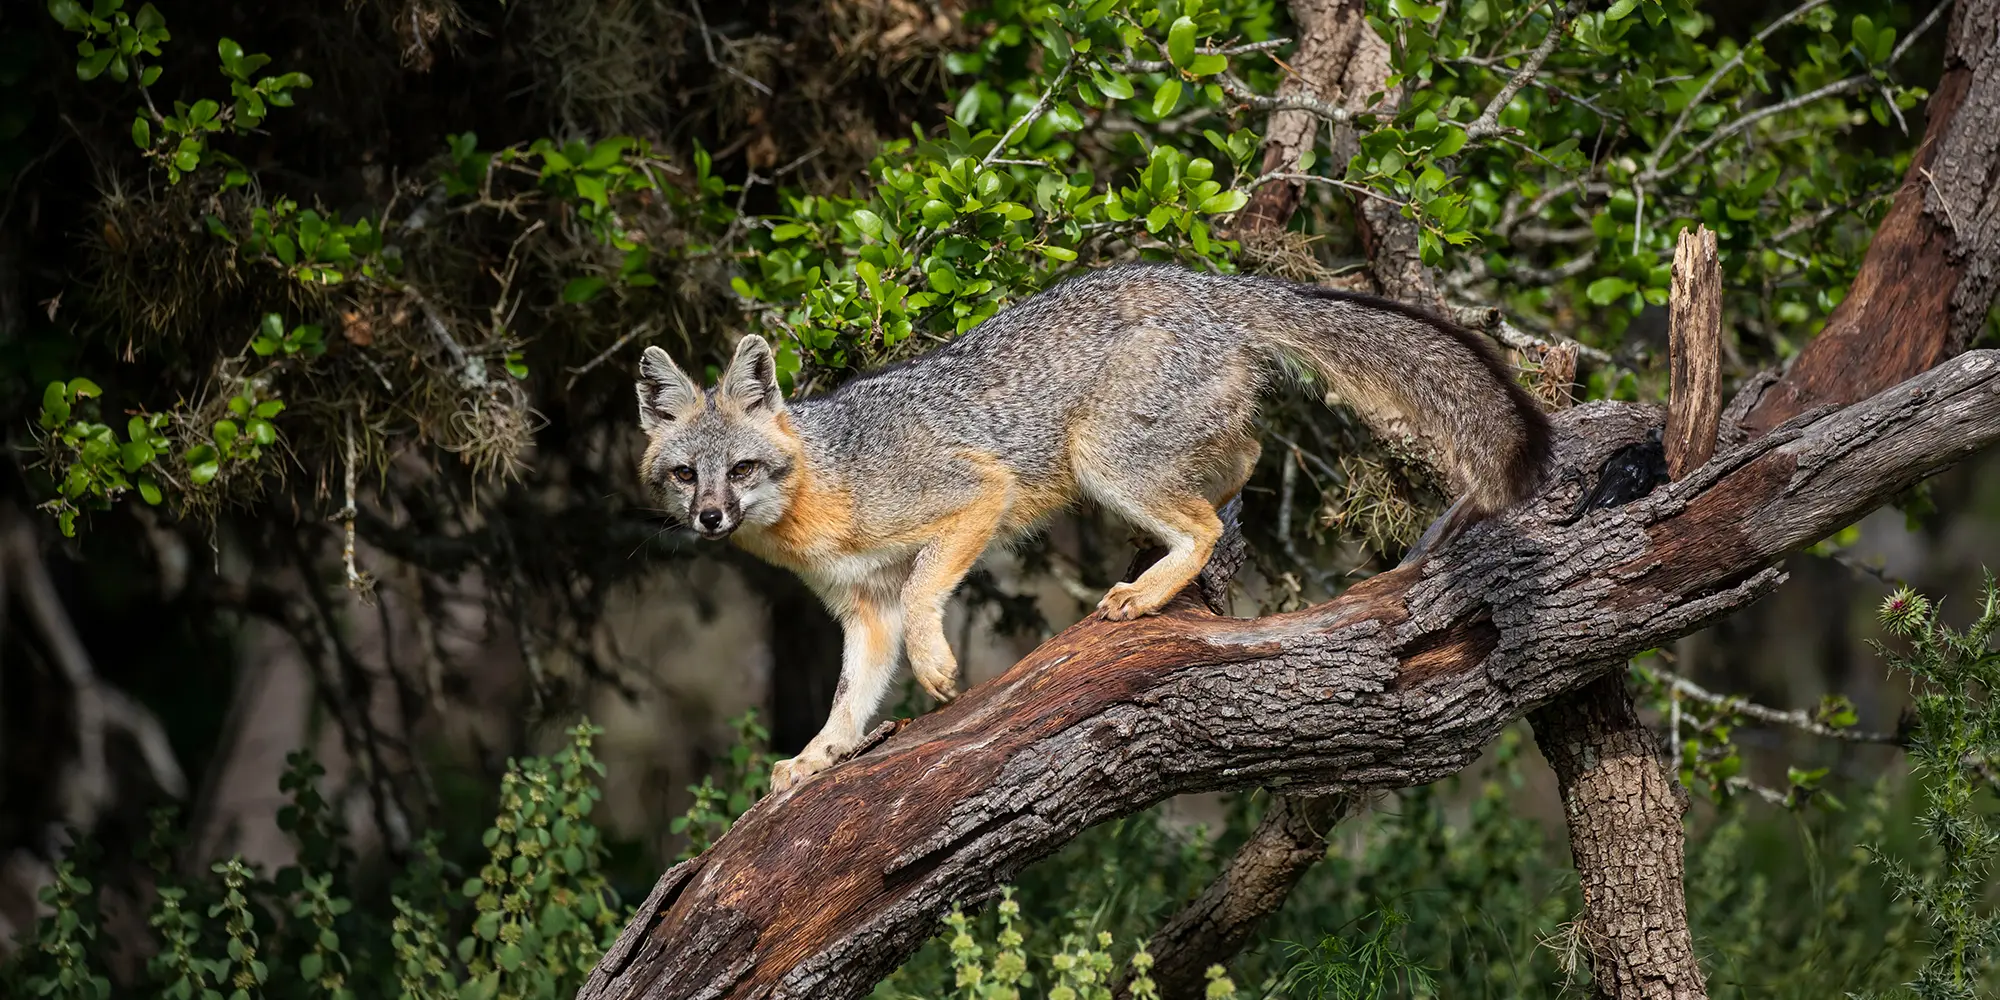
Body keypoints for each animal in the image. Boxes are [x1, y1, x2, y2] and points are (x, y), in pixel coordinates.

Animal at [632, 262, 1552, 792]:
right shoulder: (864, 611)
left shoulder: (974, 492)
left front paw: (939, 667)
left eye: (740, 470)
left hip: (1101, 460)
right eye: (685, 476)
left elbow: (929, 589)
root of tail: (1216, 282)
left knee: (1204, 518)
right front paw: (821, 757)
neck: (826, 486)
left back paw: (1148, 594)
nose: (710, 517)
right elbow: (850, 699)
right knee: (1248, 452)